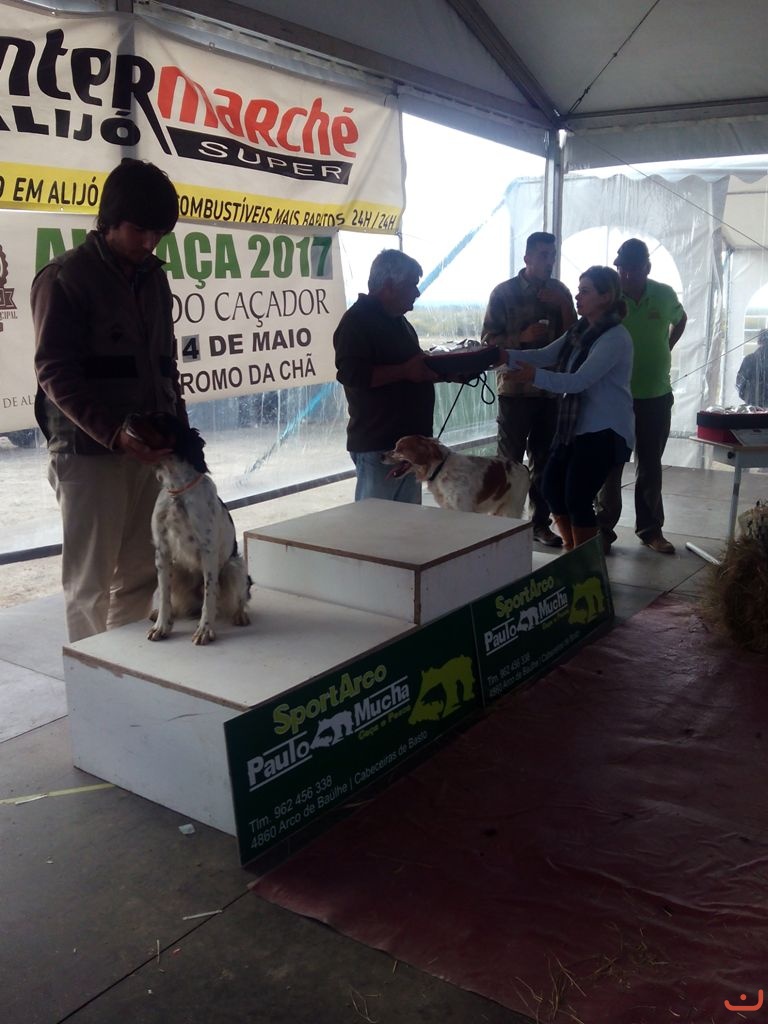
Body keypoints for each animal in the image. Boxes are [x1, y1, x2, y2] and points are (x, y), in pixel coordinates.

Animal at [123, 413, 251, 645]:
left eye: (162, 418)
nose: (128, 416)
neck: (178, 490)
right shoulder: (162, 551)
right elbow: (165, 598)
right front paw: (161, 627)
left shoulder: (208, 551)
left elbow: (210, 596)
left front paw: (204, 630)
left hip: (234, 567)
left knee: (236, 599)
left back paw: (240, 615)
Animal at [383, 435, 529, 518]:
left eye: (400, 449)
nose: (381, 456)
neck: (439, 469)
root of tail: (521, 465)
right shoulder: (448, 507)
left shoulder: (463, 508)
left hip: (512, 508)